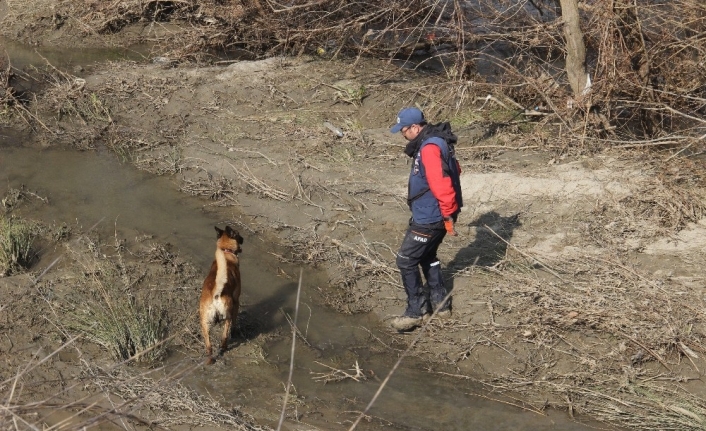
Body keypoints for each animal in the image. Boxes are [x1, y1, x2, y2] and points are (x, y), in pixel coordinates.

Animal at [198, 226, 242, 364]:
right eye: (238, 235)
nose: (243, 239)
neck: (226, 252)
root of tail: (216, 294)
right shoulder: (236, 301)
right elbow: (235, 321)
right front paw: (235, 331)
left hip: (204, 322)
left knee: (209, 346)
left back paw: (210, 358)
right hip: (228, 313)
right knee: (225, 334)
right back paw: (224, 347)